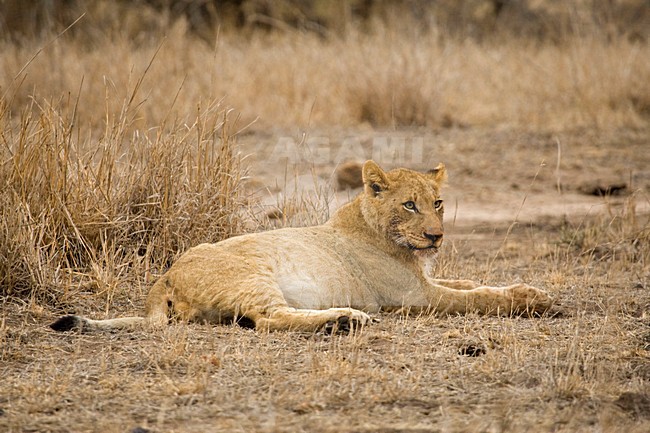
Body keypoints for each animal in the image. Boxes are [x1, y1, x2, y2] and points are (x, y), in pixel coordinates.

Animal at [50, 160, 553, 334]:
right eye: (409, 205)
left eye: (438, 203)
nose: (436, 236)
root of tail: (165, 277)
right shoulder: (412, 296)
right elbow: (478, 296)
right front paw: (532, 298)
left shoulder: (423, 278)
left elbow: (469, 281)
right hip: (254, 273)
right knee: (268, 320)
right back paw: (345, 321)